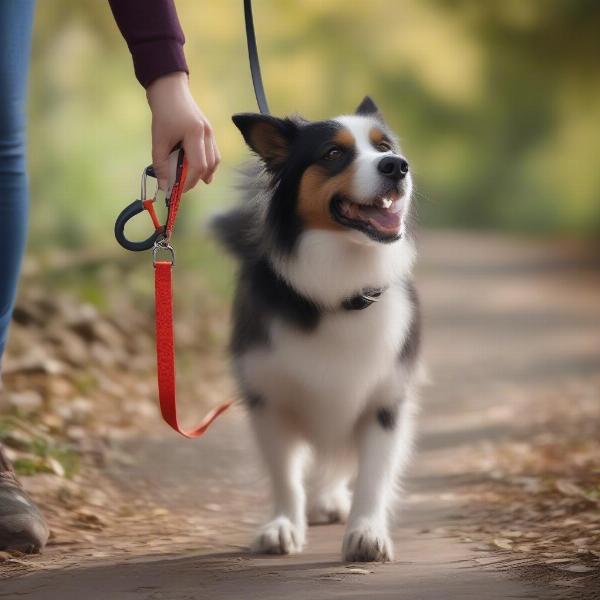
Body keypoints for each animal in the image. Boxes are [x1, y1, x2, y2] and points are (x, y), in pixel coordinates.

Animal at [212, 97, 422, 564]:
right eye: (333, 153)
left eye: (385, 147)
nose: (397, 166)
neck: (339, 288)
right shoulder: (267, 396)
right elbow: (285, 475)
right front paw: (283, 526)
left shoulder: (386, 399)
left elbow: (373, 475)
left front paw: (366, 532)